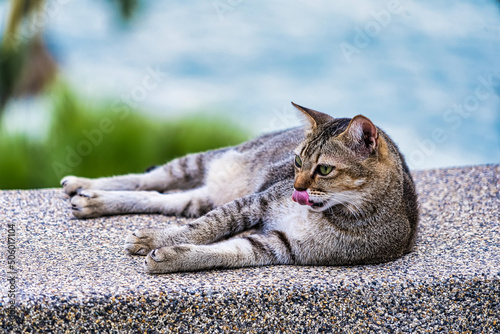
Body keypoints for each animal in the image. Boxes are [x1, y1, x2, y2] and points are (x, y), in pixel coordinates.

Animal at [61, 103, 418, 274]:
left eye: (325, 169)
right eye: (298, 161)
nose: (295, 186)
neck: (332, 212)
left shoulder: (280, 247)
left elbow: (222, 251)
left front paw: (169, 255)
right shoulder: (254, 202)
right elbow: (203, 228)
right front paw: (158, 239)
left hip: (199, 197)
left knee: (160, 198)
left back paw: (92, 200)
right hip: (202, 161)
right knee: (150, 180)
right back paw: (83, 184)